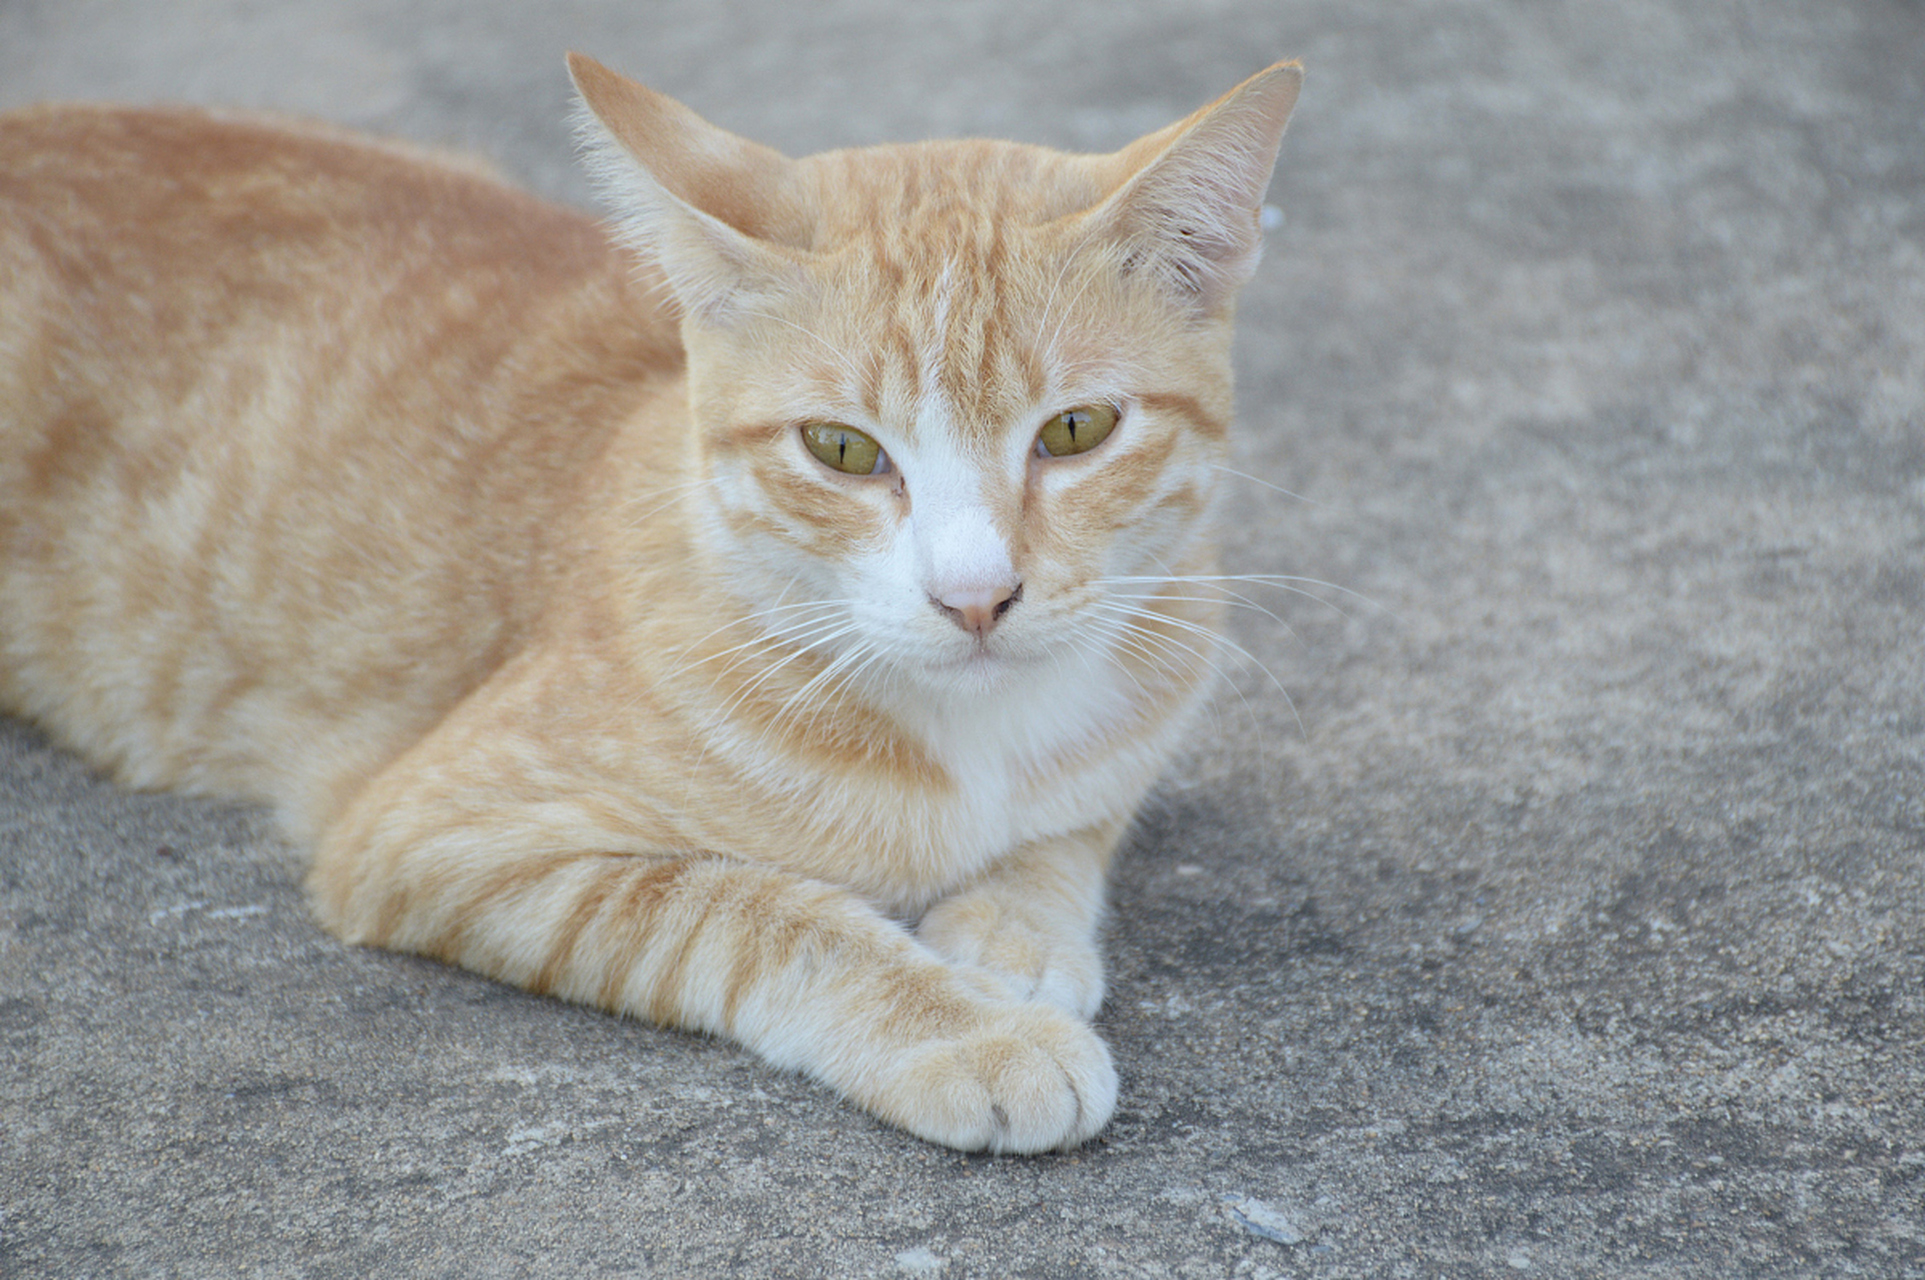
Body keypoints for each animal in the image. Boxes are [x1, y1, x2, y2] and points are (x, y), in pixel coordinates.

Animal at [0, 52, 1301, 1147]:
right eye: (840, 448)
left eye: (1075, 430)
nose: (974, 597)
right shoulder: (435, 831)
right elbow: (754, 907)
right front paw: (967, 1026)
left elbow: (1070, 829)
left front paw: (1014, 928)